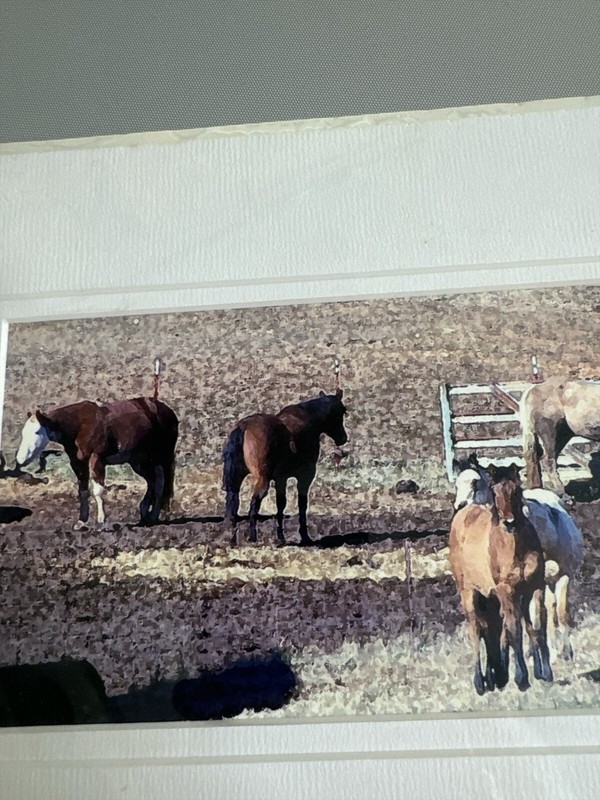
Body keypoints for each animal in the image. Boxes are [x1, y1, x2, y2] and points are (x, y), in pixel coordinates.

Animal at [15, 398, 179, 528]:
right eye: (23, 432)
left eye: (37, 431)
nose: (21, 459)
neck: (81, 424)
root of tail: (165, 409)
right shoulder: (78, 462)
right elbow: (83, 491)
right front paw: (81, 521)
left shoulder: (96, 459)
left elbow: (98, 490)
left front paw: (101, 521)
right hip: (140, 462)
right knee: (153, 481)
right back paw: (146, 513)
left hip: (162, 457)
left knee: (160, 483)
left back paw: (153, 515)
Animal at [223, 389, 348, 545]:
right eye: (342, 411)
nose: (343, 438)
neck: (307, 420)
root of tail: (245, 427)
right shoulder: (305, 477)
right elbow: (301, 505)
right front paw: (304, 536)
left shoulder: (281, 479)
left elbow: (280, 505)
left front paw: (281, 536)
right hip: (262, 481)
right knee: (253, 506)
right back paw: (253, 538)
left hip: (236, 481)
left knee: (233, 506)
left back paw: (233, 539)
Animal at [449, 463, 553, 694]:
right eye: (494, 492)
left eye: (516, 490)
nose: (509, 522)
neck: (516, 547)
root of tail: (463, 512)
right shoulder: (507, 591)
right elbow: (514, 630)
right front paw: (522, 678)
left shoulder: (535, 587)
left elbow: (537, 625)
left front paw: (545, 673)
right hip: (468, 593)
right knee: (476, 630)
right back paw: (480, 682)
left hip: (489, 597)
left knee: (492, 629)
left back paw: (497, 676)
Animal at [453, 453, 584, 660]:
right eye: (456, 483)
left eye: (475, 482)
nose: (460, 507)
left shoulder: (564, 576)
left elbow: (561, 613)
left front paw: (565, 651)